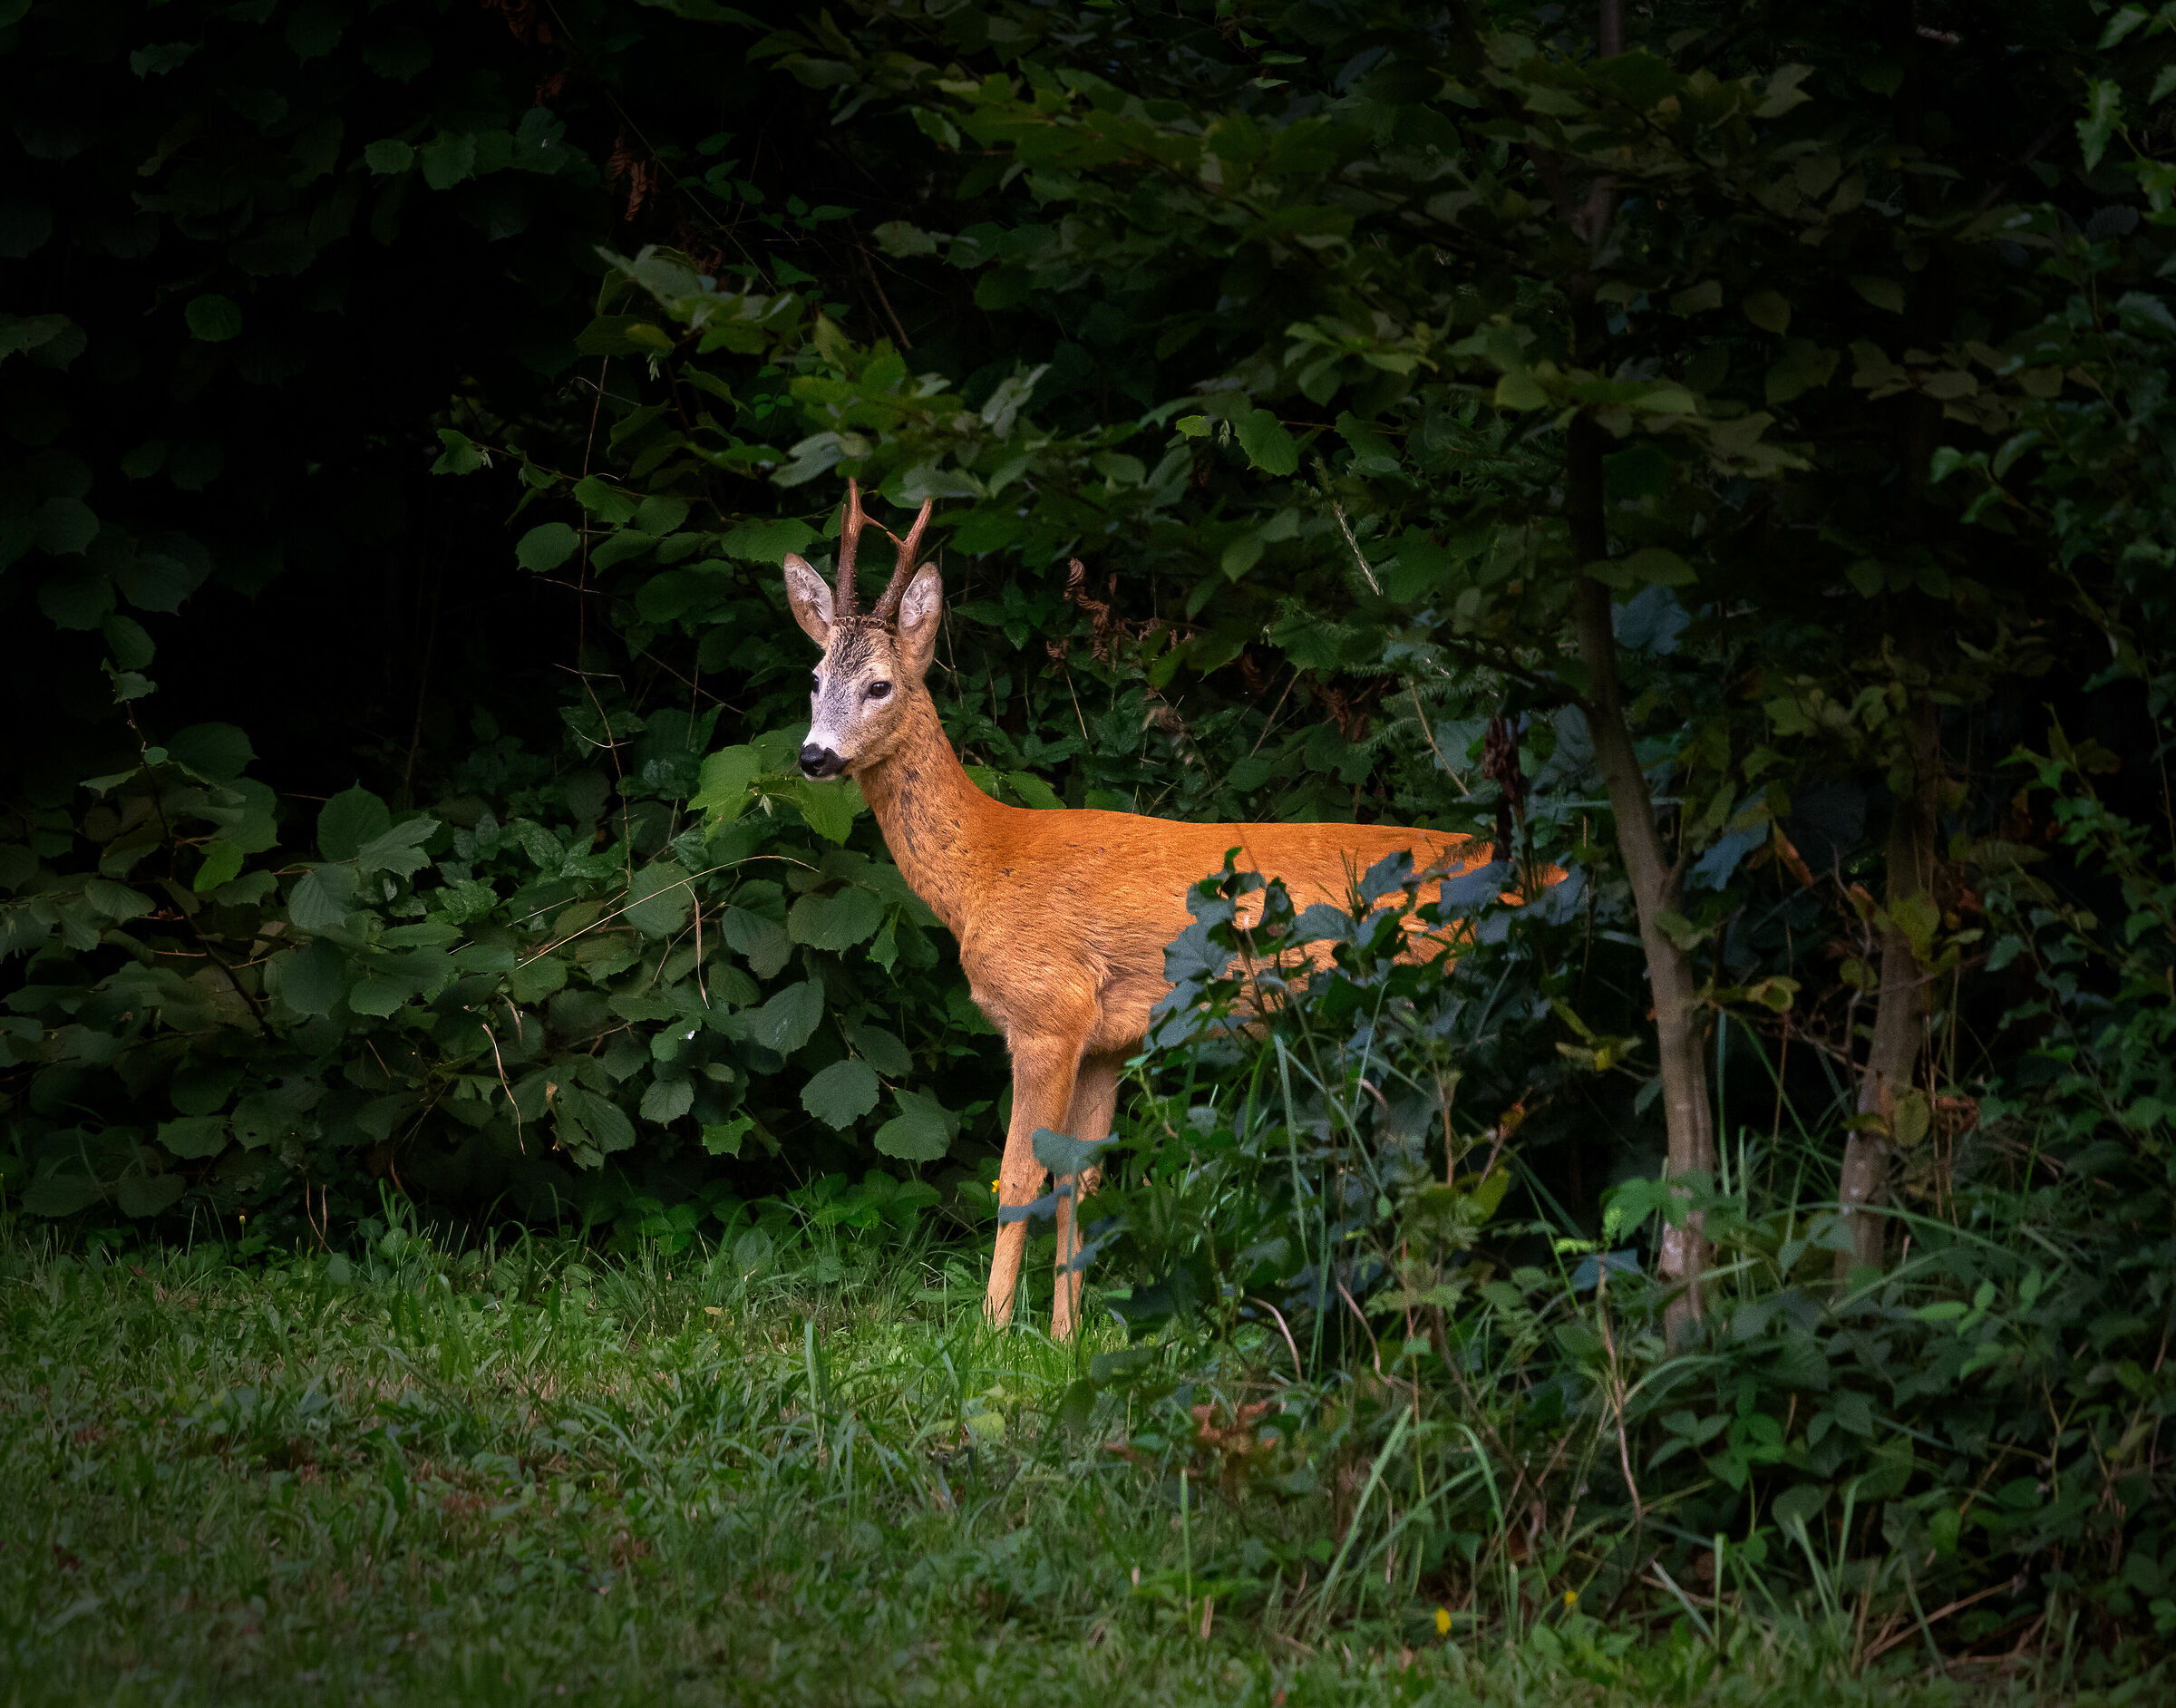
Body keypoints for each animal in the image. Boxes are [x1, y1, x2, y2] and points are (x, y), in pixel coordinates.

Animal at [782, 481, 1496, 1342]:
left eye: (880, 685)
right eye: (814, 677)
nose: (814, 756)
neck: (986, 867)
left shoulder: (1048, 1012)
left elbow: (1018, 1174)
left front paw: (990, 1332)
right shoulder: (1108, 1039)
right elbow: (1077, 1182)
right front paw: (1064, 1337)